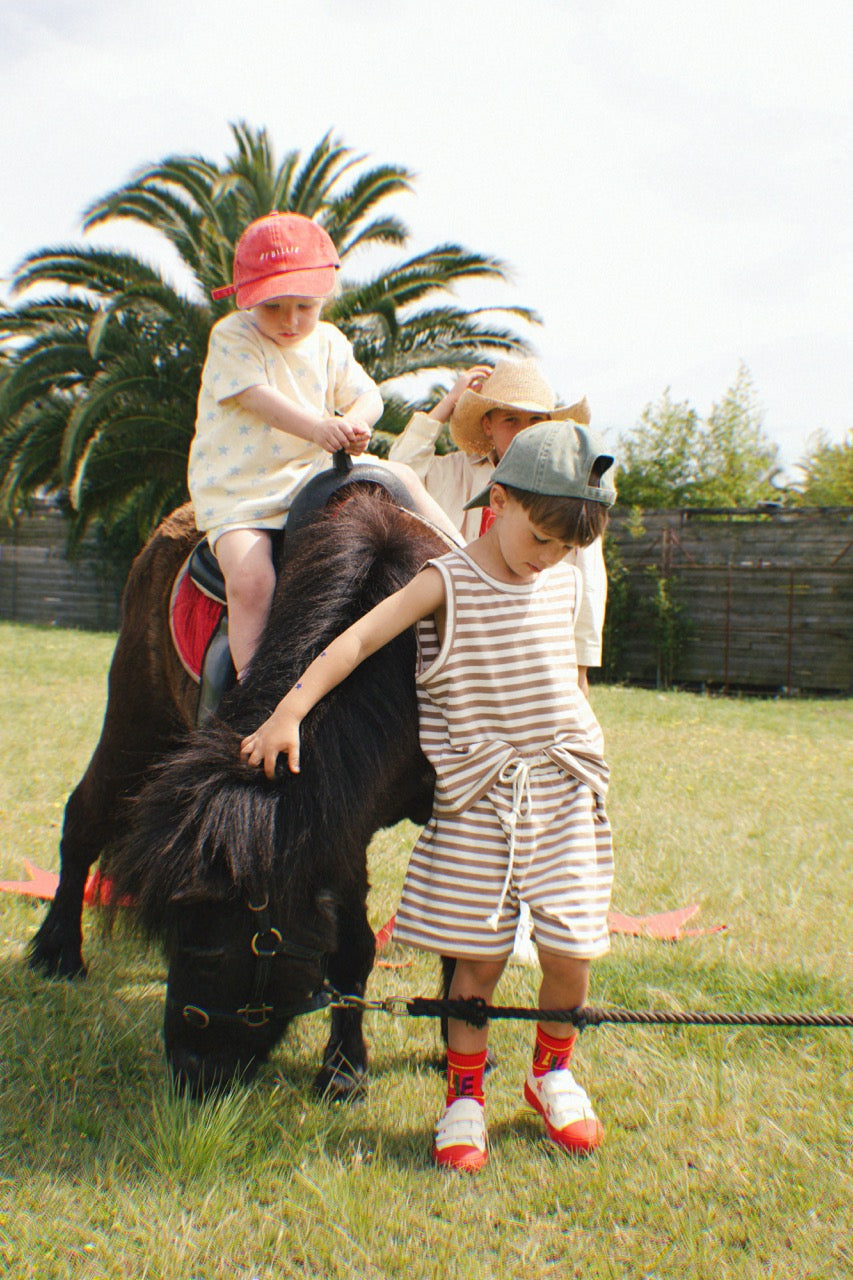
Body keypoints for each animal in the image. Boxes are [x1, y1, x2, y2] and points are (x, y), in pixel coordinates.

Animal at [31, 483, 445, 1095]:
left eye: (207, 955)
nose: (188, 1067)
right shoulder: (335, 824)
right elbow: (351, 946)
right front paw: (345, 1068)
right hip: (136, 715)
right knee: (83, 819)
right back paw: (56, 951)